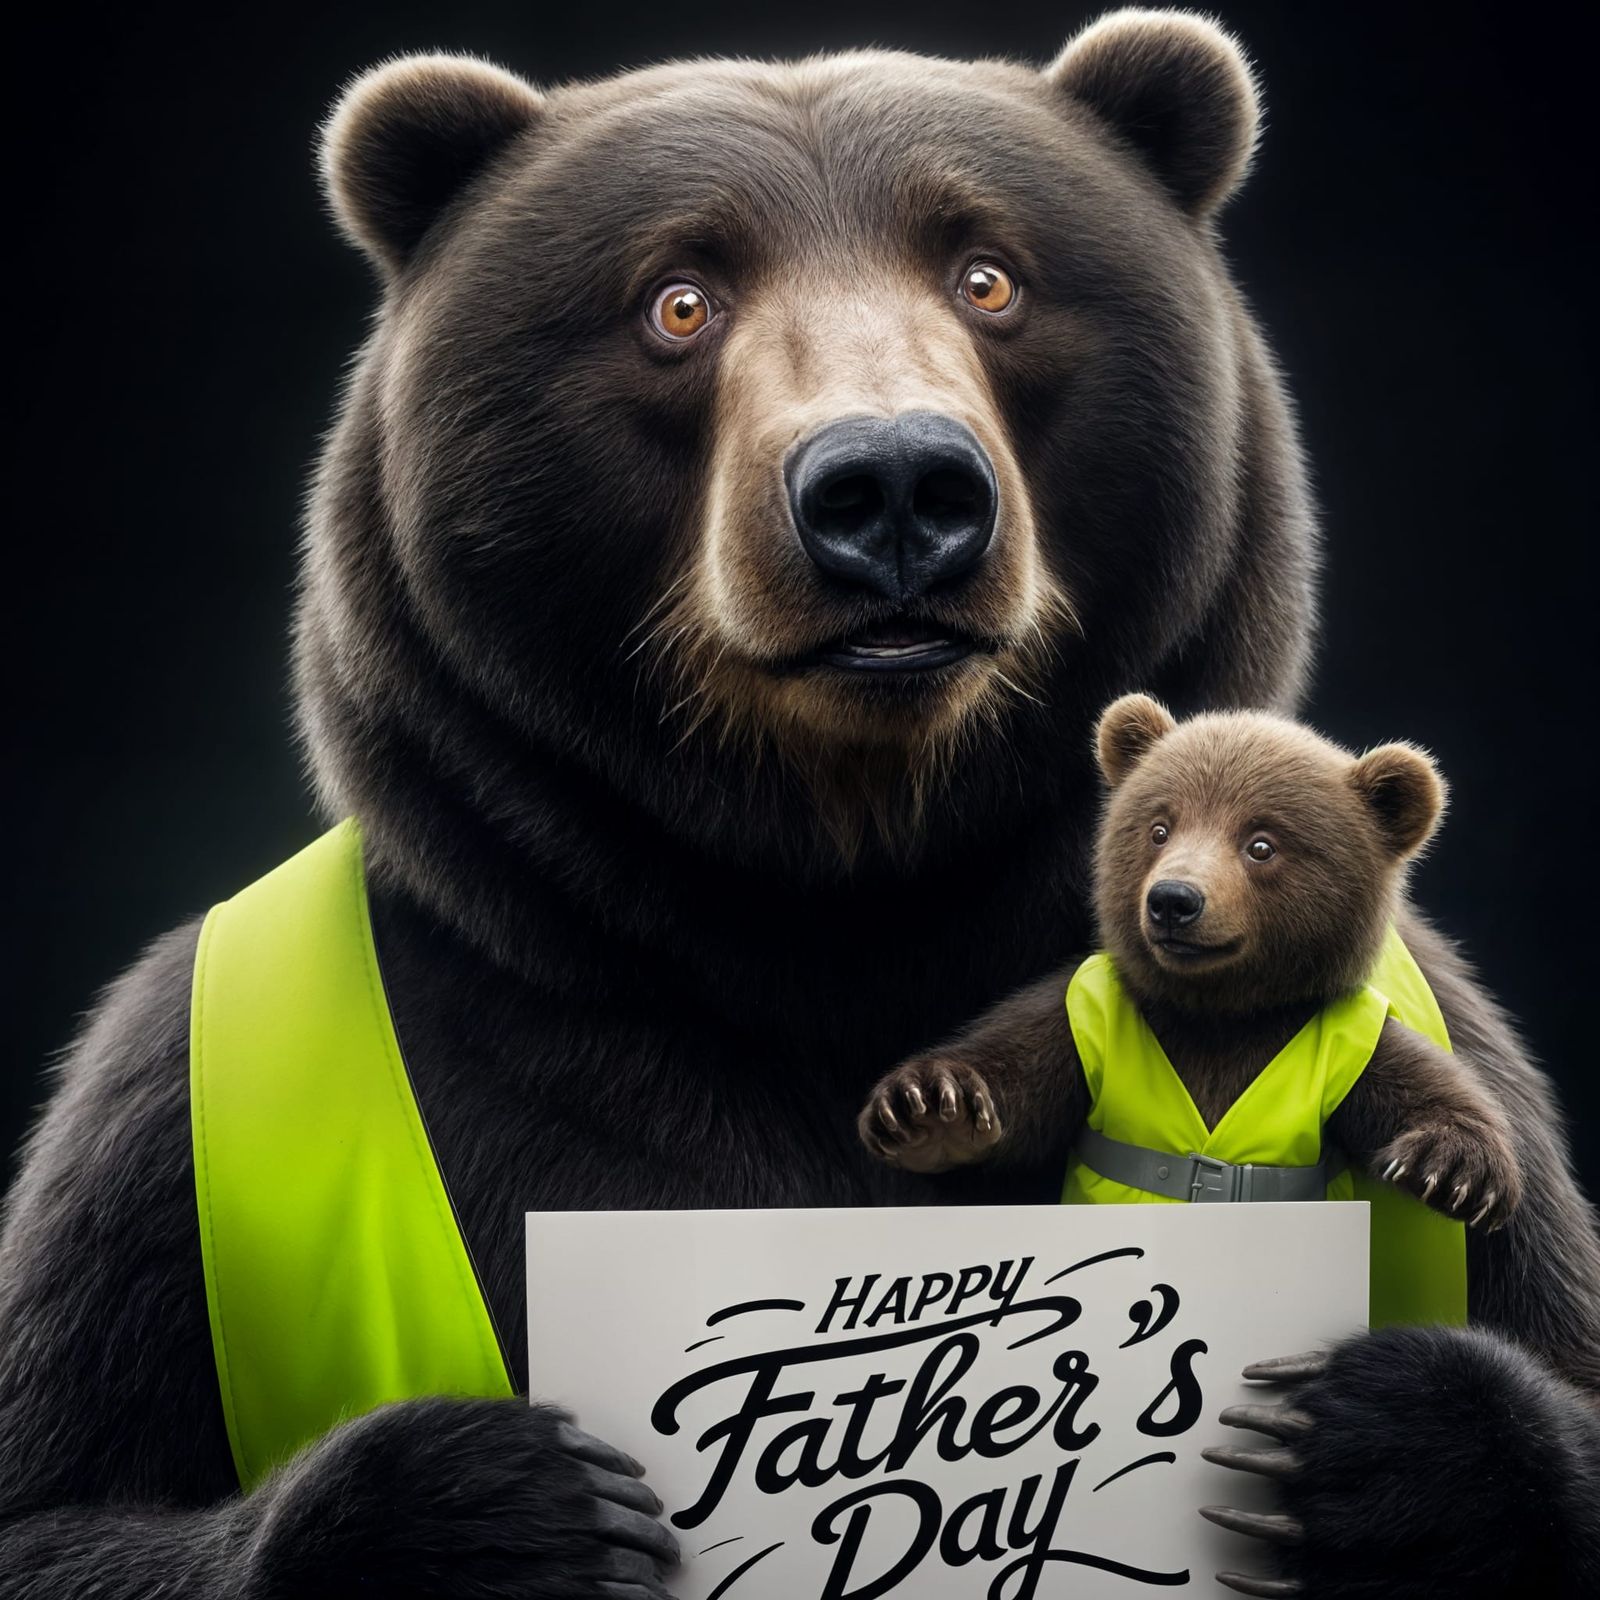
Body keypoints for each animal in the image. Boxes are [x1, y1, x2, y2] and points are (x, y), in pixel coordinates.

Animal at [858, 693, 1525, 1229]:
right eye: (1159, 827)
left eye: (1262, 844)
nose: (1174, 900)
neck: (1218, 1011)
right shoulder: (1087, 1020)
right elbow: (1014, 1069)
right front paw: (928, 1111)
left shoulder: (1337, 1042)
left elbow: (1426, 1084)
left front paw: (1453, 1167)